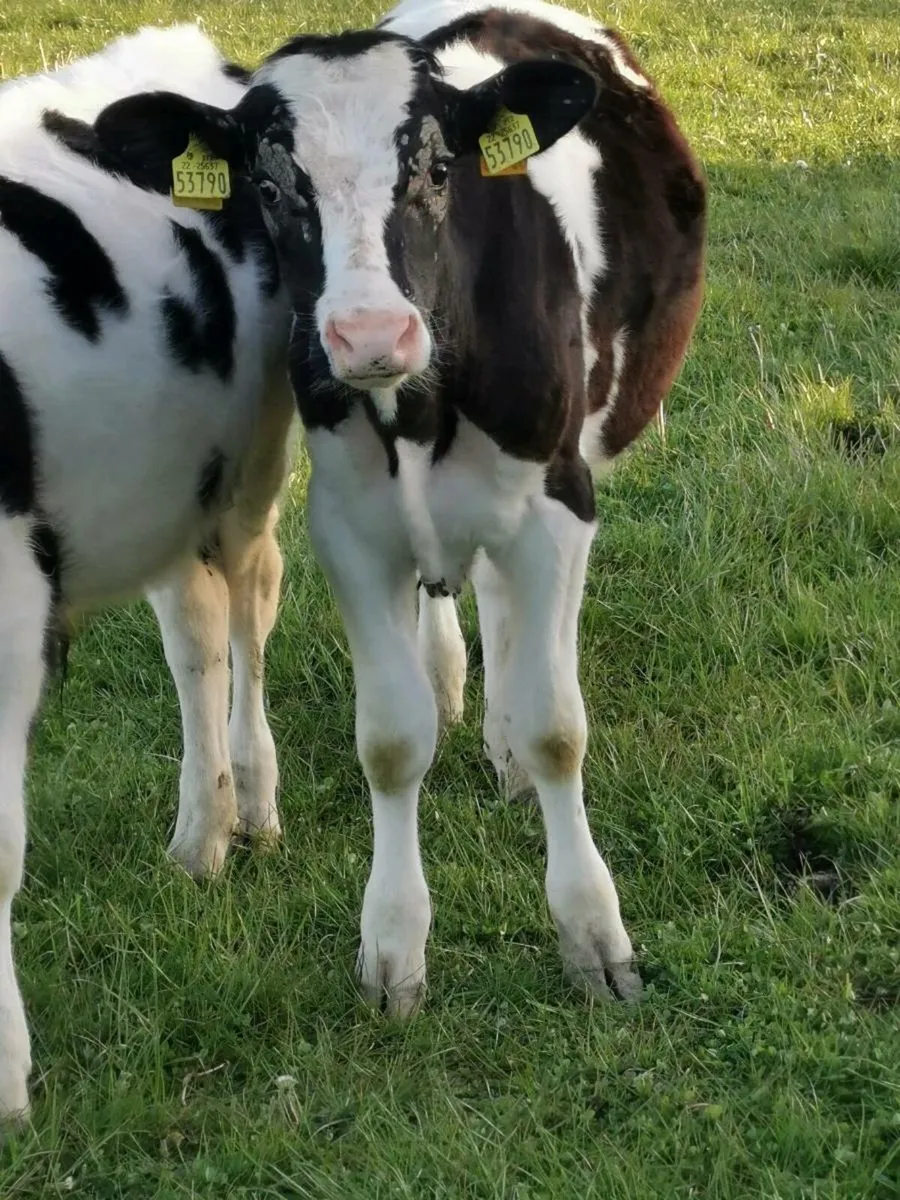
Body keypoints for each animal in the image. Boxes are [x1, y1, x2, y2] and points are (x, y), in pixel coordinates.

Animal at [0, 26, 295, 1116]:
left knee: (250, 605)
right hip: (171, 490)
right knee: (195, 635)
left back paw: (251, 807)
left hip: (248, 462)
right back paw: (202, 834)